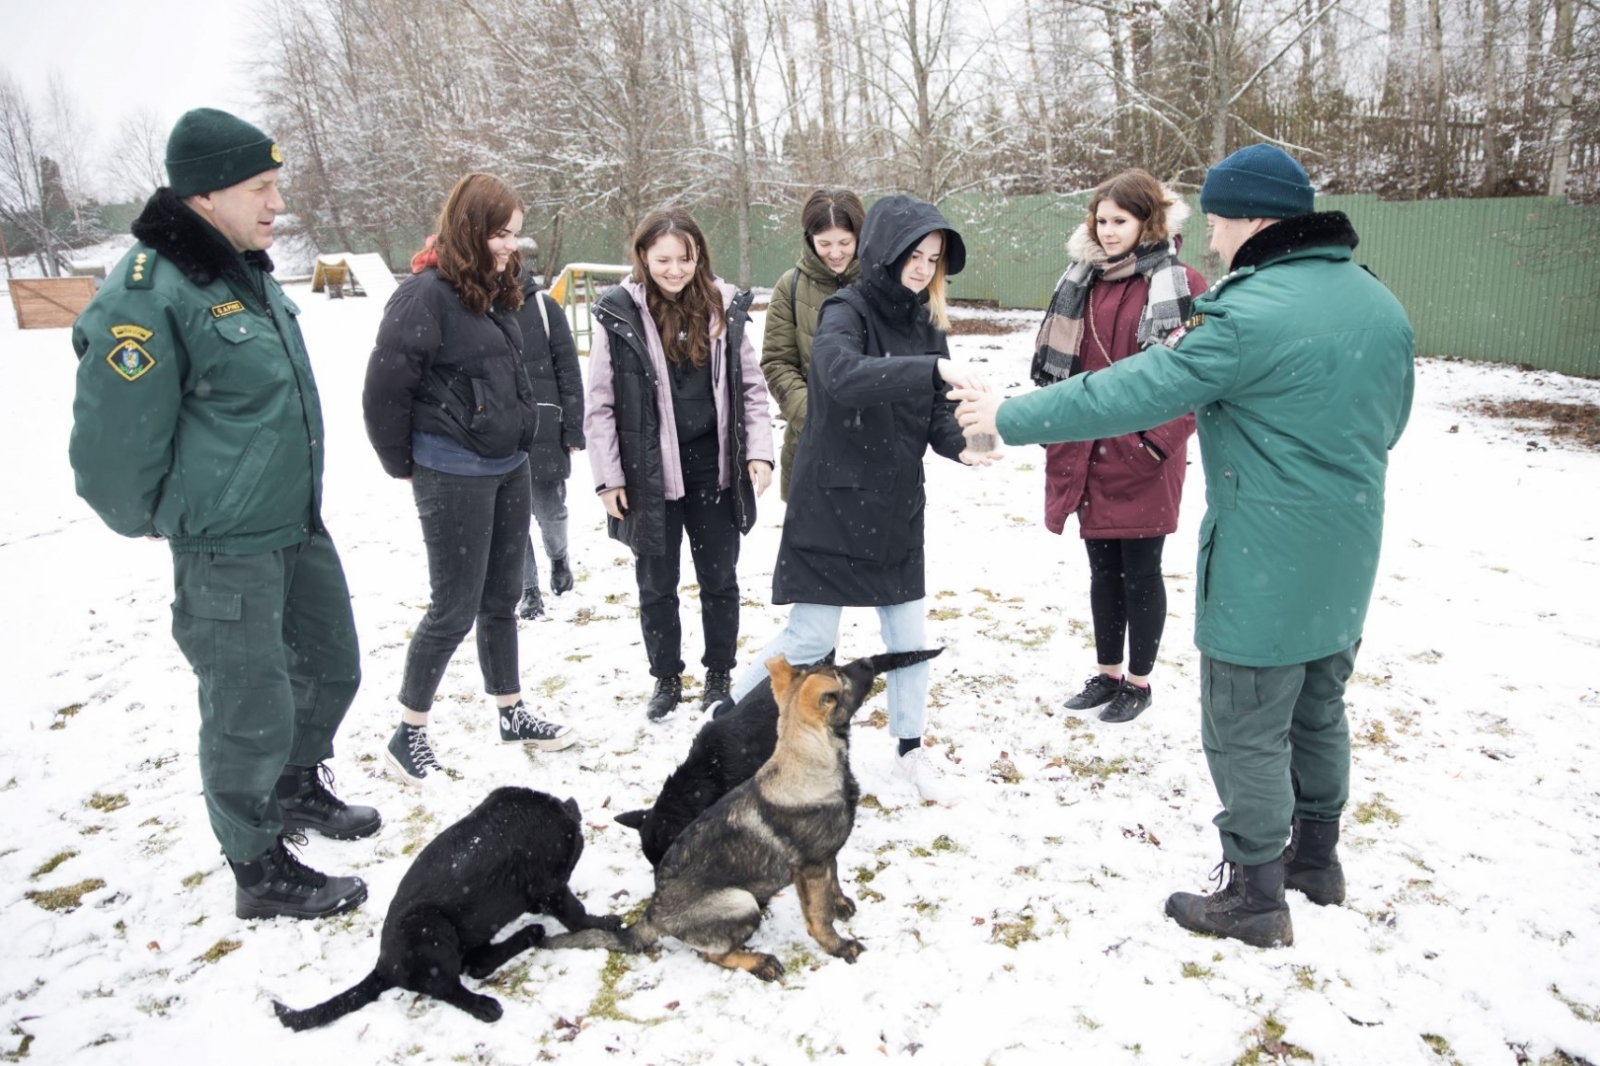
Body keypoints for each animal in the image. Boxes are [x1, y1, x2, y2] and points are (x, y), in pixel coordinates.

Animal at [272, 784, 620, 1024]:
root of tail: (385, 965)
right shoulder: (550, 883)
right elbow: (575, 913)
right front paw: (606, 923)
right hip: (430, 928)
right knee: (450, 984)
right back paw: (482, 1005)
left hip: (473, 929)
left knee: (478, 963)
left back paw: (530, 933)